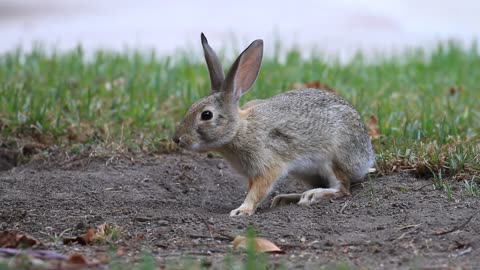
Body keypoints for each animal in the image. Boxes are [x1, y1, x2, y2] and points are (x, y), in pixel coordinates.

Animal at [172, 33, 376, 216]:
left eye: (206, 115)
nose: (176, 139)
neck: (239, 130)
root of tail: (366, 158)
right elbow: (252, 189)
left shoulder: (268, 165)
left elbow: (257, 191)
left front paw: (241, 210)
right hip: (306, 172)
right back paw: (286, 198)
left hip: (333, 159)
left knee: (343, 188)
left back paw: (312, 196)